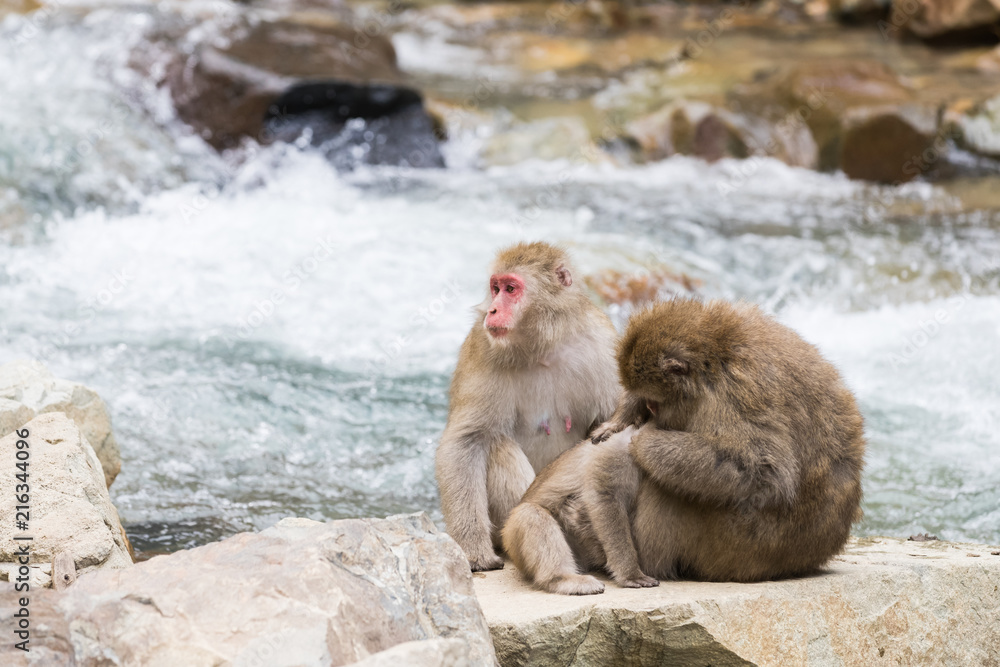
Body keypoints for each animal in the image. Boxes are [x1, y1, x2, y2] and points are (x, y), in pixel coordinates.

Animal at [436, 243, 620, 572]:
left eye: (511, 289)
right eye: (495, 289)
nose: (493, 310)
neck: (543, 346)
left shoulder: (604, 345)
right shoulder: (481, 347)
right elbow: (466, 441)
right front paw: (474, 550)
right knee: (497, 445)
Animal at [504, 298, 864, 596]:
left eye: (654, 402)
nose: (649, 412)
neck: (715, 358)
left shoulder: (732, 394)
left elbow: (763, 471)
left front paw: (645, 440)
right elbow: (605, 495)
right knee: (533, 518)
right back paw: (567, 577)